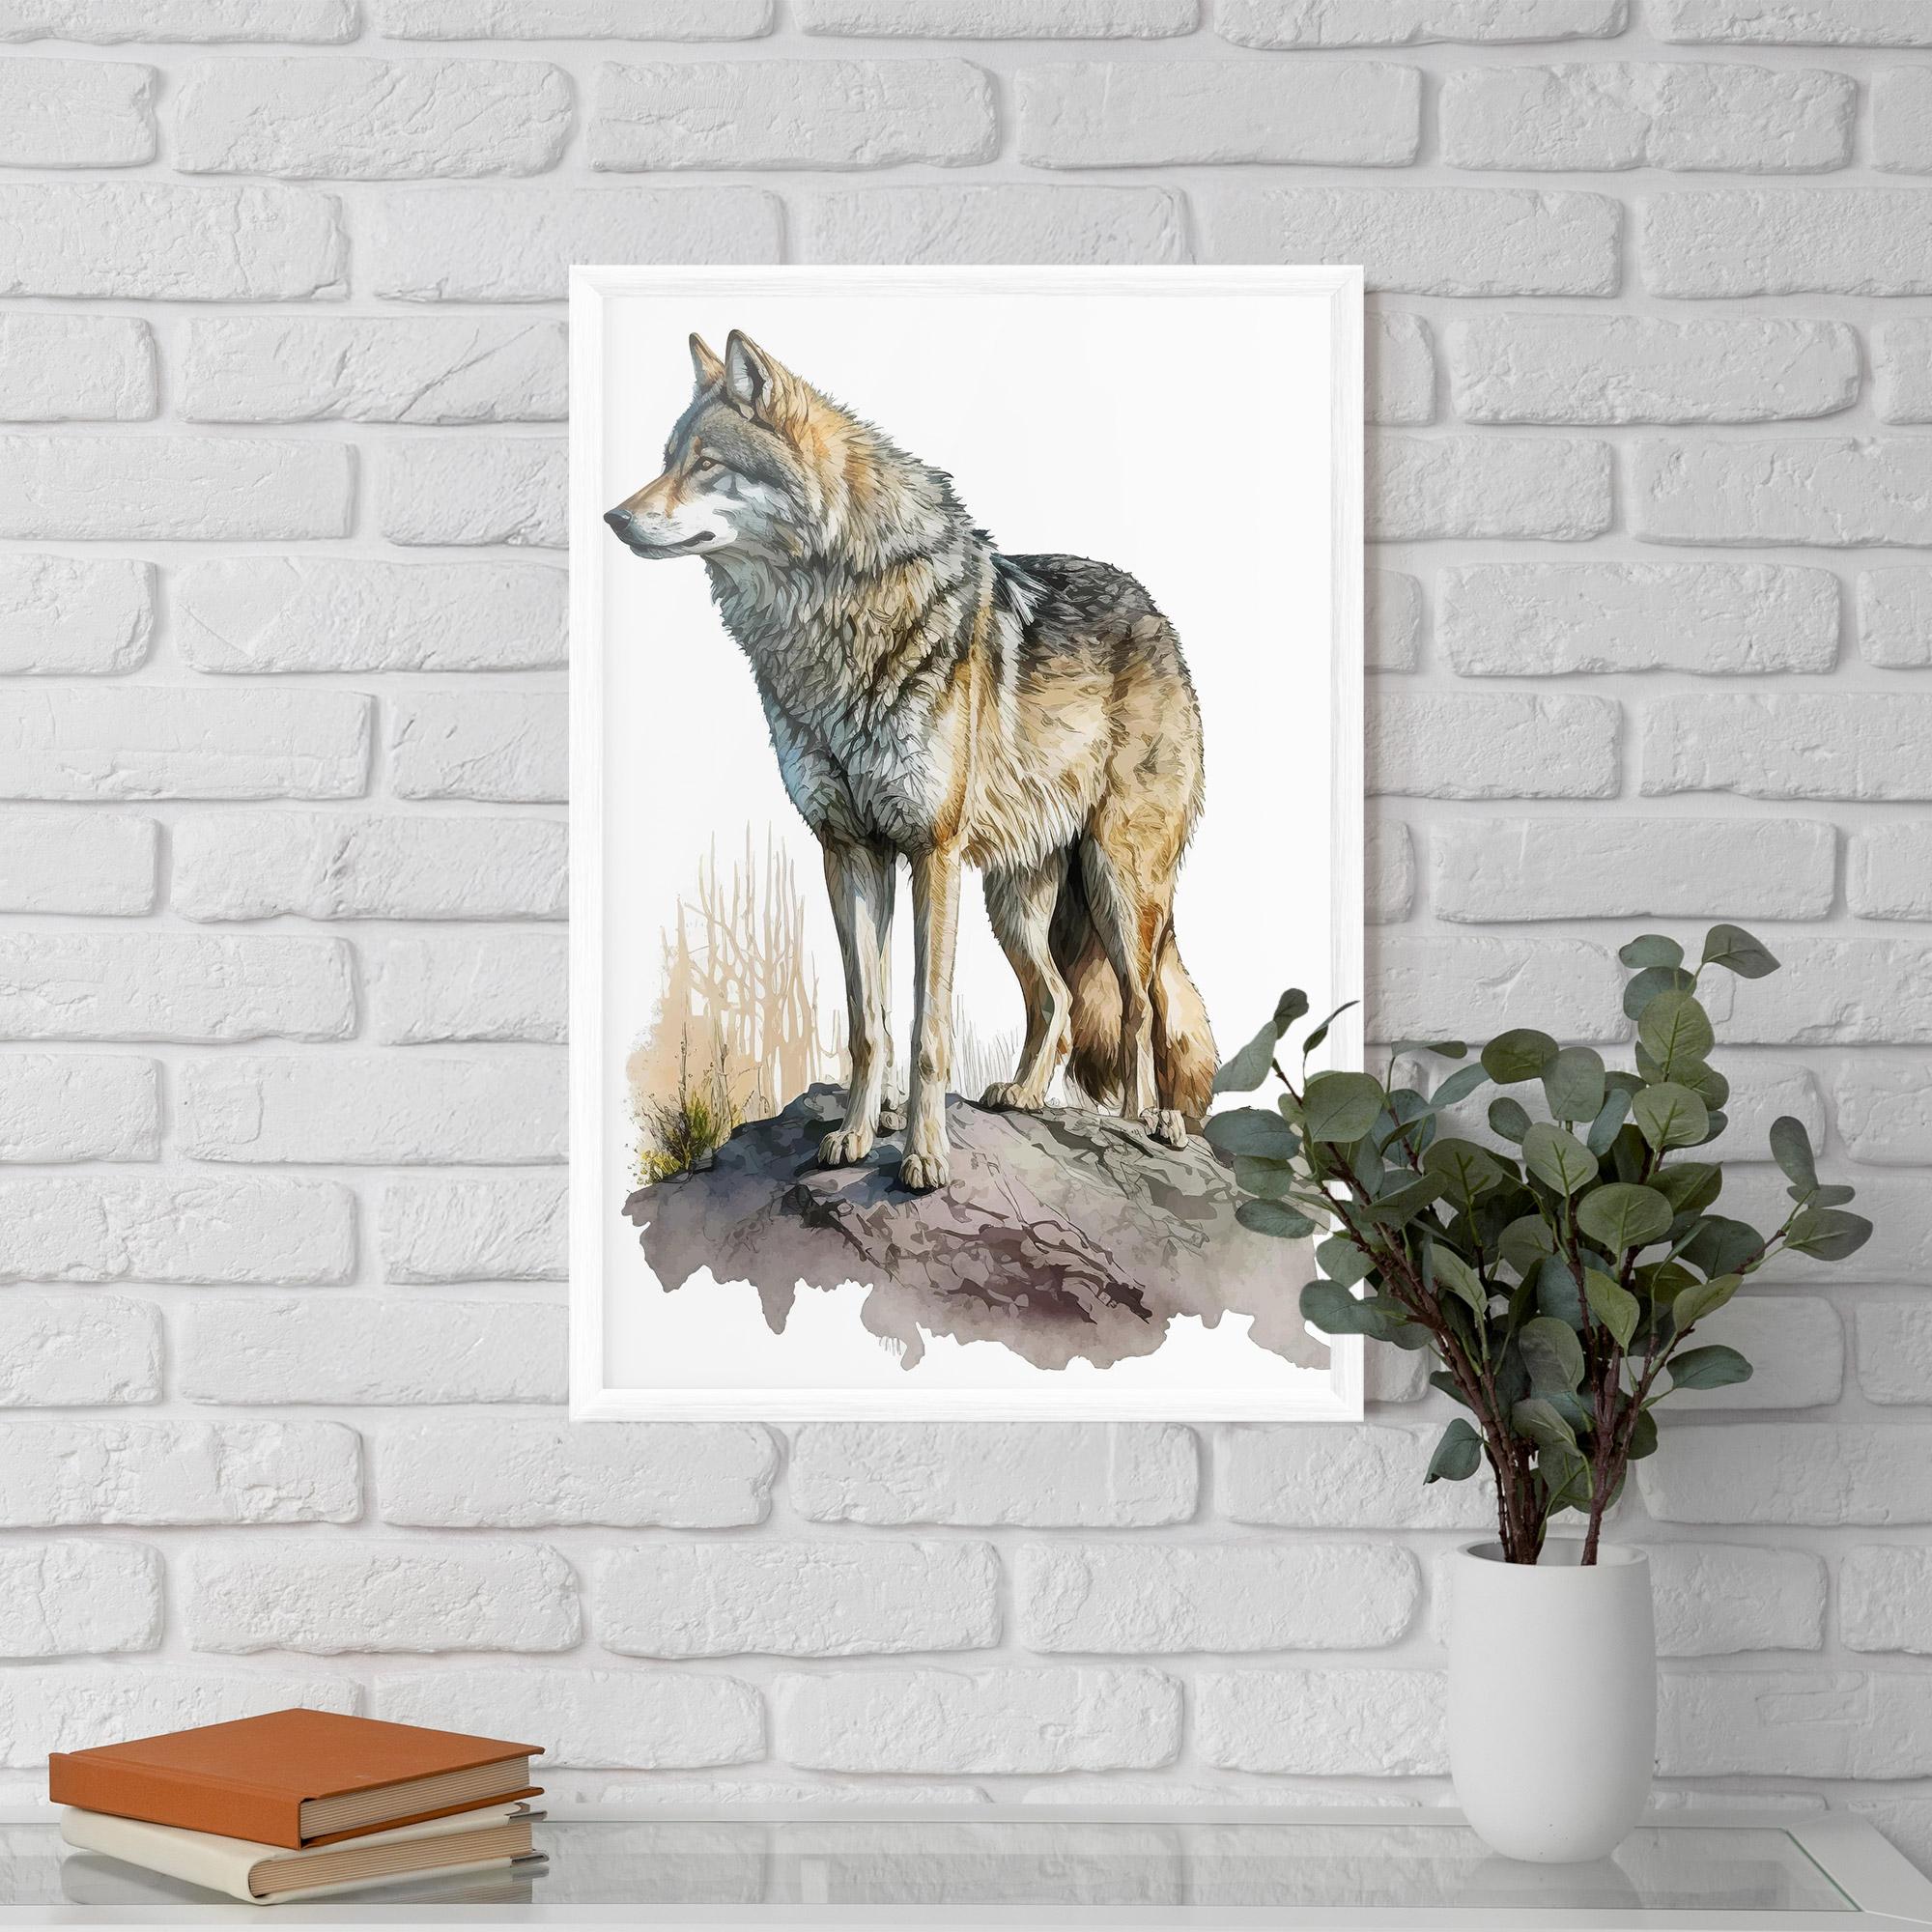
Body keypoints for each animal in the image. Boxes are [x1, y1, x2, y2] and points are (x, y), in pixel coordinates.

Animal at [605, 330, 1217, 1193]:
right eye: (667, 459)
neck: (830, 626)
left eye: (707, 464)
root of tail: (1157, 613)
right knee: (1059, 1003)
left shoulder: (931, 853)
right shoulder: (849, 851)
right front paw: (857, 1135)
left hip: (1119, 885)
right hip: (1012, 900)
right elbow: (871, 1024)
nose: (614, 517)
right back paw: (1024, 1096)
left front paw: (924, 1157)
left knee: (1144, 1007)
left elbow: (929, 1030)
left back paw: (1146, 1123)